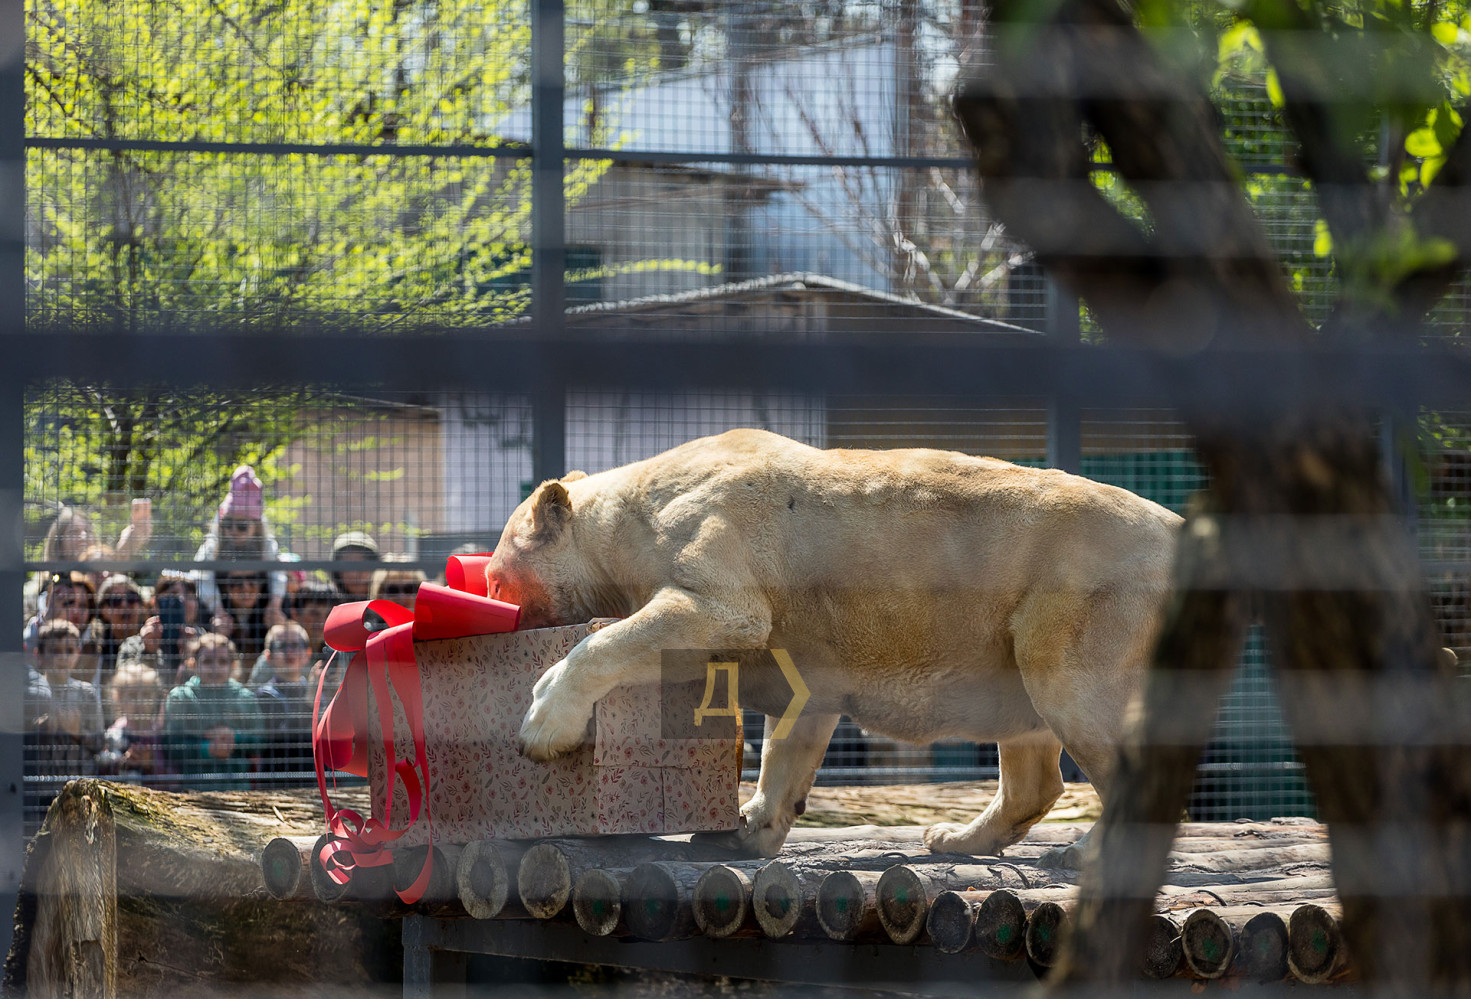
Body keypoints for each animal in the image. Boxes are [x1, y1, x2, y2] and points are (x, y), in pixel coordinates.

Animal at [487, 428, 1182, 862]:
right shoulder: (811, 660)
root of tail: (1176, 526)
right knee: (1031, 761)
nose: (492, 595)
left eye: (494, 579)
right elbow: (792, 738)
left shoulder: (717, 568)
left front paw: (543, 723)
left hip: (1078, 611)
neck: (626, 518)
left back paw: (1084, 853)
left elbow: (649, 630)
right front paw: (747, 829)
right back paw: (955, 838)